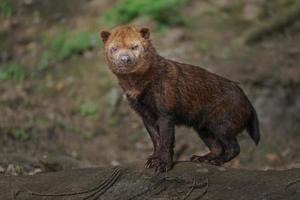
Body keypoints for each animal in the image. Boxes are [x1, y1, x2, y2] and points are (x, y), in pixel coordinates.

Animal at [99, 24, 258, 172]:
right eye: (114, 48)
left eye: (134, 46)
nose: (124, 59)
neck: (138, 88)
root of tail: (247, 100)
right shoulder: (145, 115)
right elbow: (156, 140)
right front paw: (153, 160)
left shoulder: (166, 113)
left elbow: (166, 141)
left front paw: (163, 164)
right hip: (203, 127)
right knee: (217, 147)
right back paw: (201, 158)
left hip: (220, 125)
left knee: (234, 148)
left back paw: (215, 161)